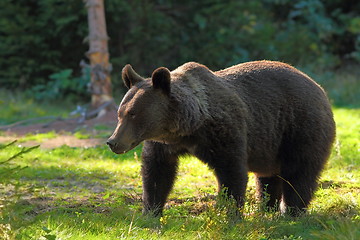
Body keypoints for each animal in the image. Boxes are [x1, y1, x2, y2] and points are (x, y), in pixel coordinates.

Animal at [106, 60, 334, 216]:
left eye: (133, 114)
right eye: (120, 113)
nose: (112, 142)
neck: (188, 128)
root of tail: (319, 88)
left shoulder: (224, 133)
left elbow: (232, 173)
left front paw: (229, 213)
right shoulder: (163, 144)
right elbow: (156, 173)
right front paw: (150, 212)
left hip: (300, 128)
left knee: (299, 172)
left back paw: (290, 211)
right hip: (271, 144)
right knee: (268, 177)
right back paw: (265, 207)